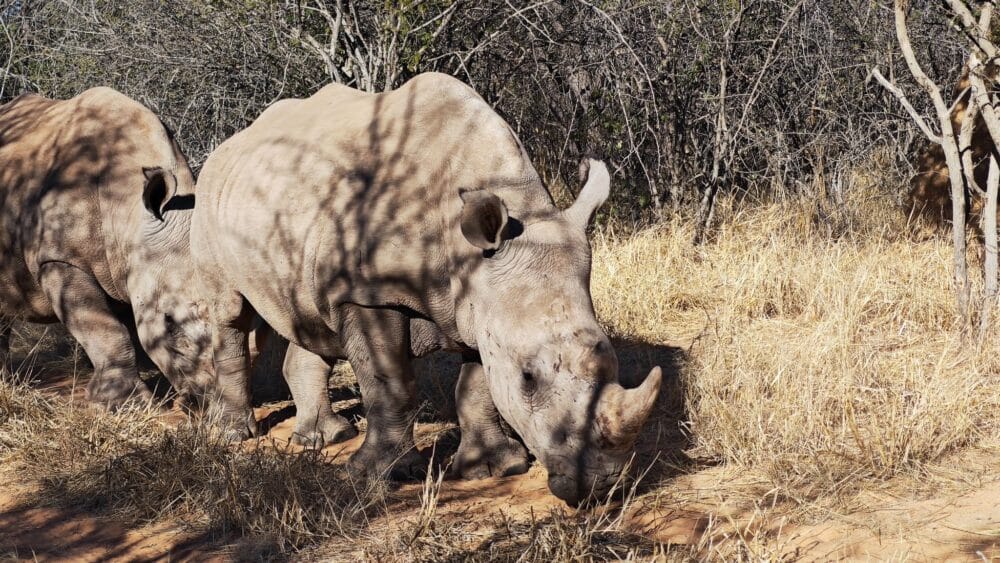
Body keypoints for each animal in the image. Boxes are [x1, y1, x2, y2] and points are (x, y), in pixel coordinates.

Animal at [0, 88, 213, 407]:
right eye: (169, 321)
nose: (206, 399)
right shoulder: (58, 259)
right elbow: (105, 328)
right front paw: (125, 404)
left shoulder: (126, 264)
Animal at [191, 73, 662, 505]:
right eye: (528, 379)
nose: (601, 487)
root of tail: (229, 146)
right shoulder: (368, 292)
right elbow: (389, 382)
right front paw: (380, 476)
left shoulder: (479, 301)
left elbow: (477, 387)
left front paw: (493, 468)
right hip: (208, 199)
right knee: (230, 312)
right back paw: (234, 435)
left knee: (306, 316)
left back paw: (324, 438)